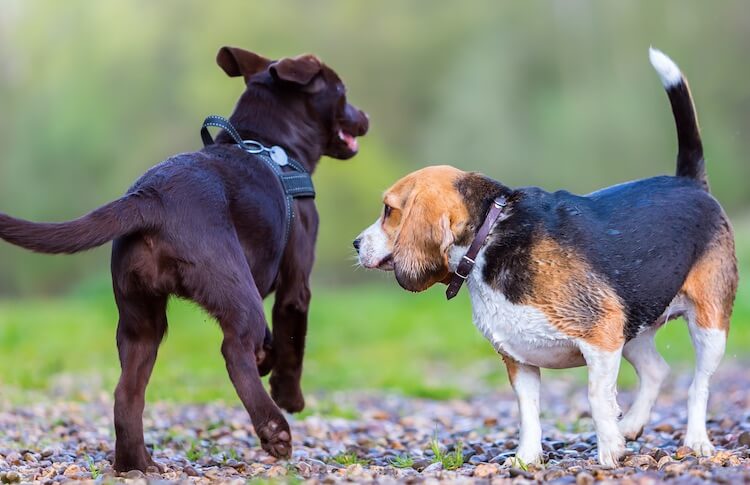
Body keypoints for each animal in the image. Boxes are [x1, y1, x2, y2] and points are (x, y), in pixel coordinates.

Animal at [0, 45, 370, 468]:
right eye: (342, 90)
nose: (366, 118)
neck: (268, 145)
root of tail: (152, 199)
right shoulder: (296, 285)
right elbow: (293, 341)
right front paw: (289, 395)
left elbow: (275, 340)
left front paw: (267, 356)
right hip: (233, 290)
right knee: (233, 351)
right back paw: (274, 428)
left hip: (141, 318)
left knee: (127, 393)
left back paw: (137, 463)